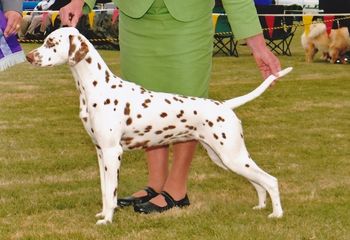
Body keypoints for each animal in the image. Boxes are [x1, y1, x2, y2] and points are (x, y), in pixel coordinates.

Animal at [26, 27, 292, 225]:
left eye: (50, 43)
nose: (28, 57)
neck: (97, 88)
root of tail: (225, 105)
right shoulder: (101, 152)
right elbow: (104, 190)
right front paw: (103, 213)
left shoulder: (113, 152)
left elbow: (111, 191)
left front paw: (108, 220)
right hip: (223, 157)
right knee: (257, 182)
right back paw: (260, 206)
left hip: (232, 155)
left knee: (270, 180)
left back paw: (277, 214)